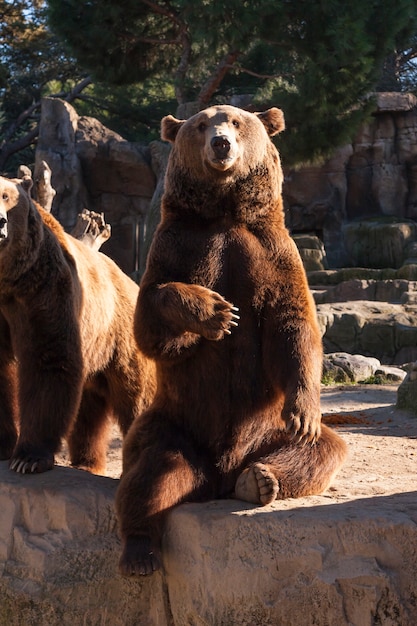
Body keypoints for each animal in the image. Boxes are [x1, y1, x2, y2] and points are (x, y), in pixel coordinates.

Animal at [0, 174, 155, 472]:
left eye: (5, 196)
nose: (0, 222)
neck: (5, 281)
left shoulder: (41, 288)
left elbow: (47, 359)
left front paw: (28, 457)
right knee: (87, 412)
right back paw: (86, 463)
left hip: (120, 340)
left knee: (139, 398)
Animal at [115, 103, 346, 576]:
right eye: (202, 124)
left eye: (237, 122)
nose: (221, 143)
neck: (224, 214)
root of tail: (217, 476)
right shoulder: (178, 246)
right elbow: (153, 318)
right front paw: (217, 312)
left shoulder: (272, 253)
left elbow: (293, 327)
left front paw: (304, 412)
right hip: (175, 423)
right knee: (153, 471)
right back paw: (140, 552)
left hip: (266, 430)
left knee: (321, 450)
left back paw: (259, 480)